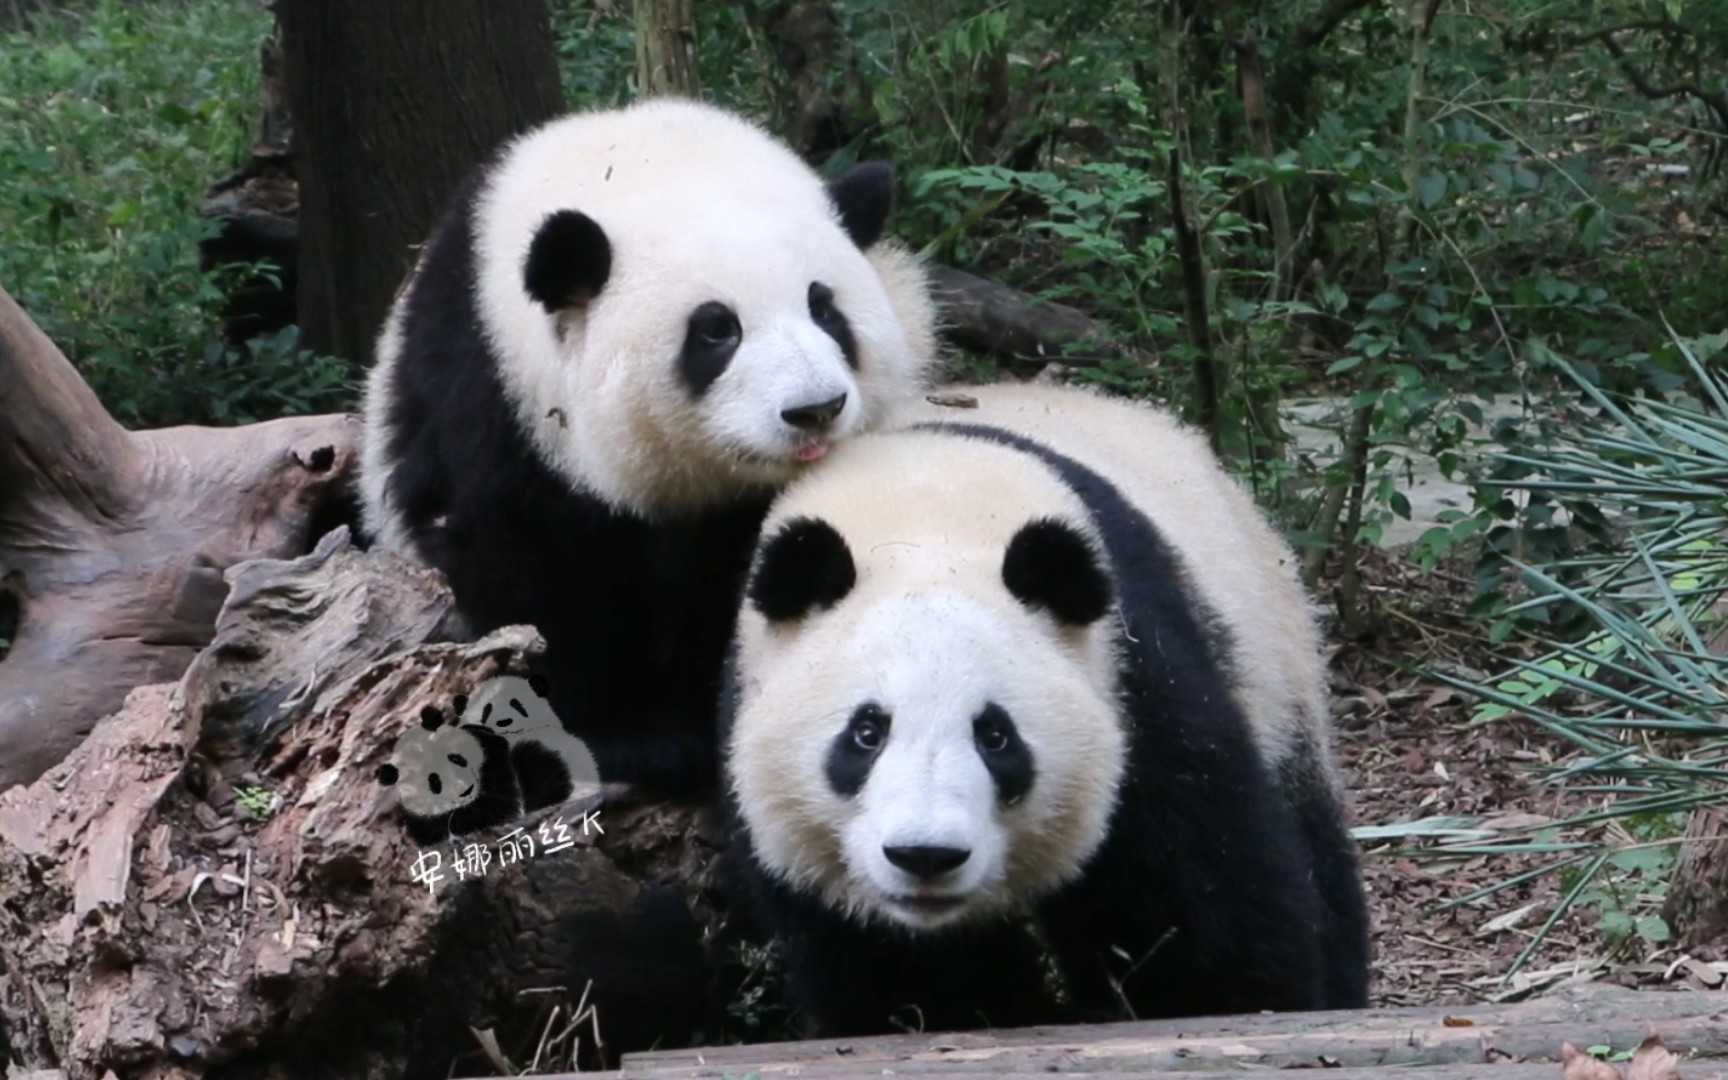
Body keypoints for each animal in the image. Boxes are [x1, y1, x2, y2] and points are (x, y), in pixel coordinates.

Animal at [355, 98, 940, 791]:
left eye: (825, 309)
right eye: (716, 330)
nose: (815, 409)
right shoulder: (492, 392)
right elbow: (523, 559)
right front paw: (626, 736)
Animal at [722, 381, 1368, 1036]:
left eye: (996, 736)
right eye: (866, 733)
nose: (926, 855)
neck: (922, 519)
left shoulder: (1134, 675)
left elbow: (1205, 903)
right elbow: (908, 982)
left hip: (1273, 653)